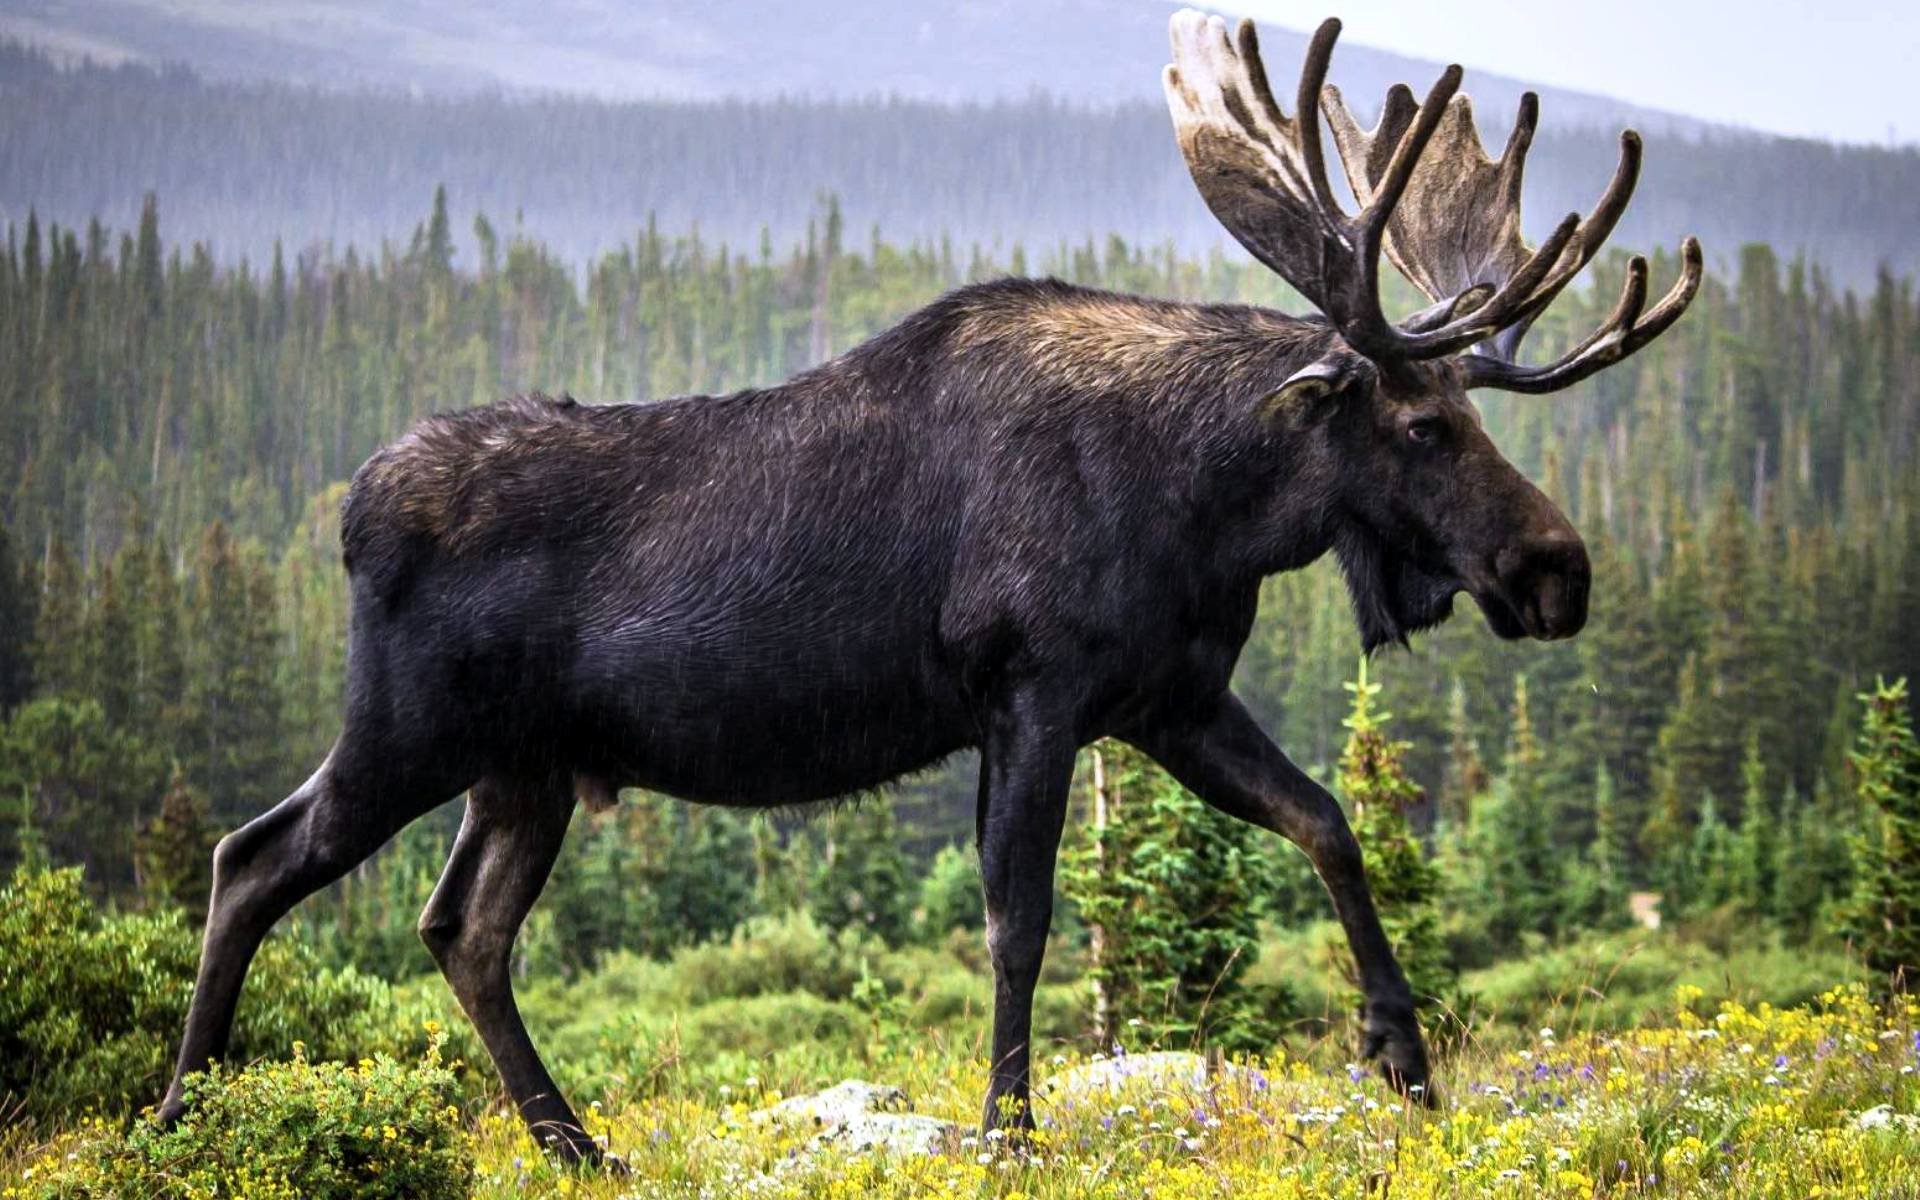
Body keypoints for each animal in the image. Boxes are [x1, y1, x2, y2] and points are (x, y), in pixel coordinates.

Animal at [161, 9, 1697, 1159]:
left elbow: (1326, 821)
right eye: (1424, 424)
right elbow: (1020, 919)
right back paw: (183, 1113)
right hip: (410, 728)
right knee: (254, 860)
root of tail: (352, 508)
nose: (1558, 570)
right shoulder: (1033, 691)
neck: (1204, 508)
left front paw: (1405, 1057)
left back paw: (575, 1143)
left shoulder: (1168, 700)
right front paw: (1011, 1132)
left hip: (524, 768)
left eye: (1471, 411)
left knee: (462, 929)